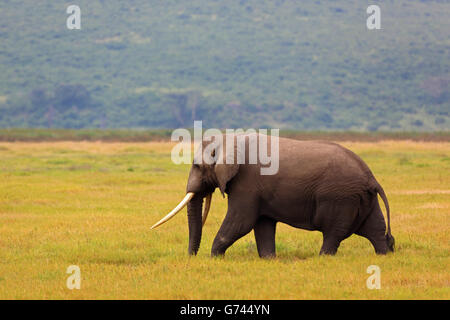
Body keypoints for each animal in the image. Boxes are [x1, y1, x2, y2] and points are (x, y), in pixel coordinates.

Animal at [152, 132, 394, 258]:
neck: (228, 139)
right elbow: (262, 224)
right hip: (361, 199)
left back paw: (322, 258)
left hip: (340, 197)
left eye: (197, 166)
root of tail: (371, 178)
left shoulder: (246, 184)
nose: (191, 257)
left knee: (334, 232)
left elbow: (240, 221)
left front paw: (215, 258)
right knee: (375, 228)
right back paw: (384, 255)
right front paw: (269, 259)